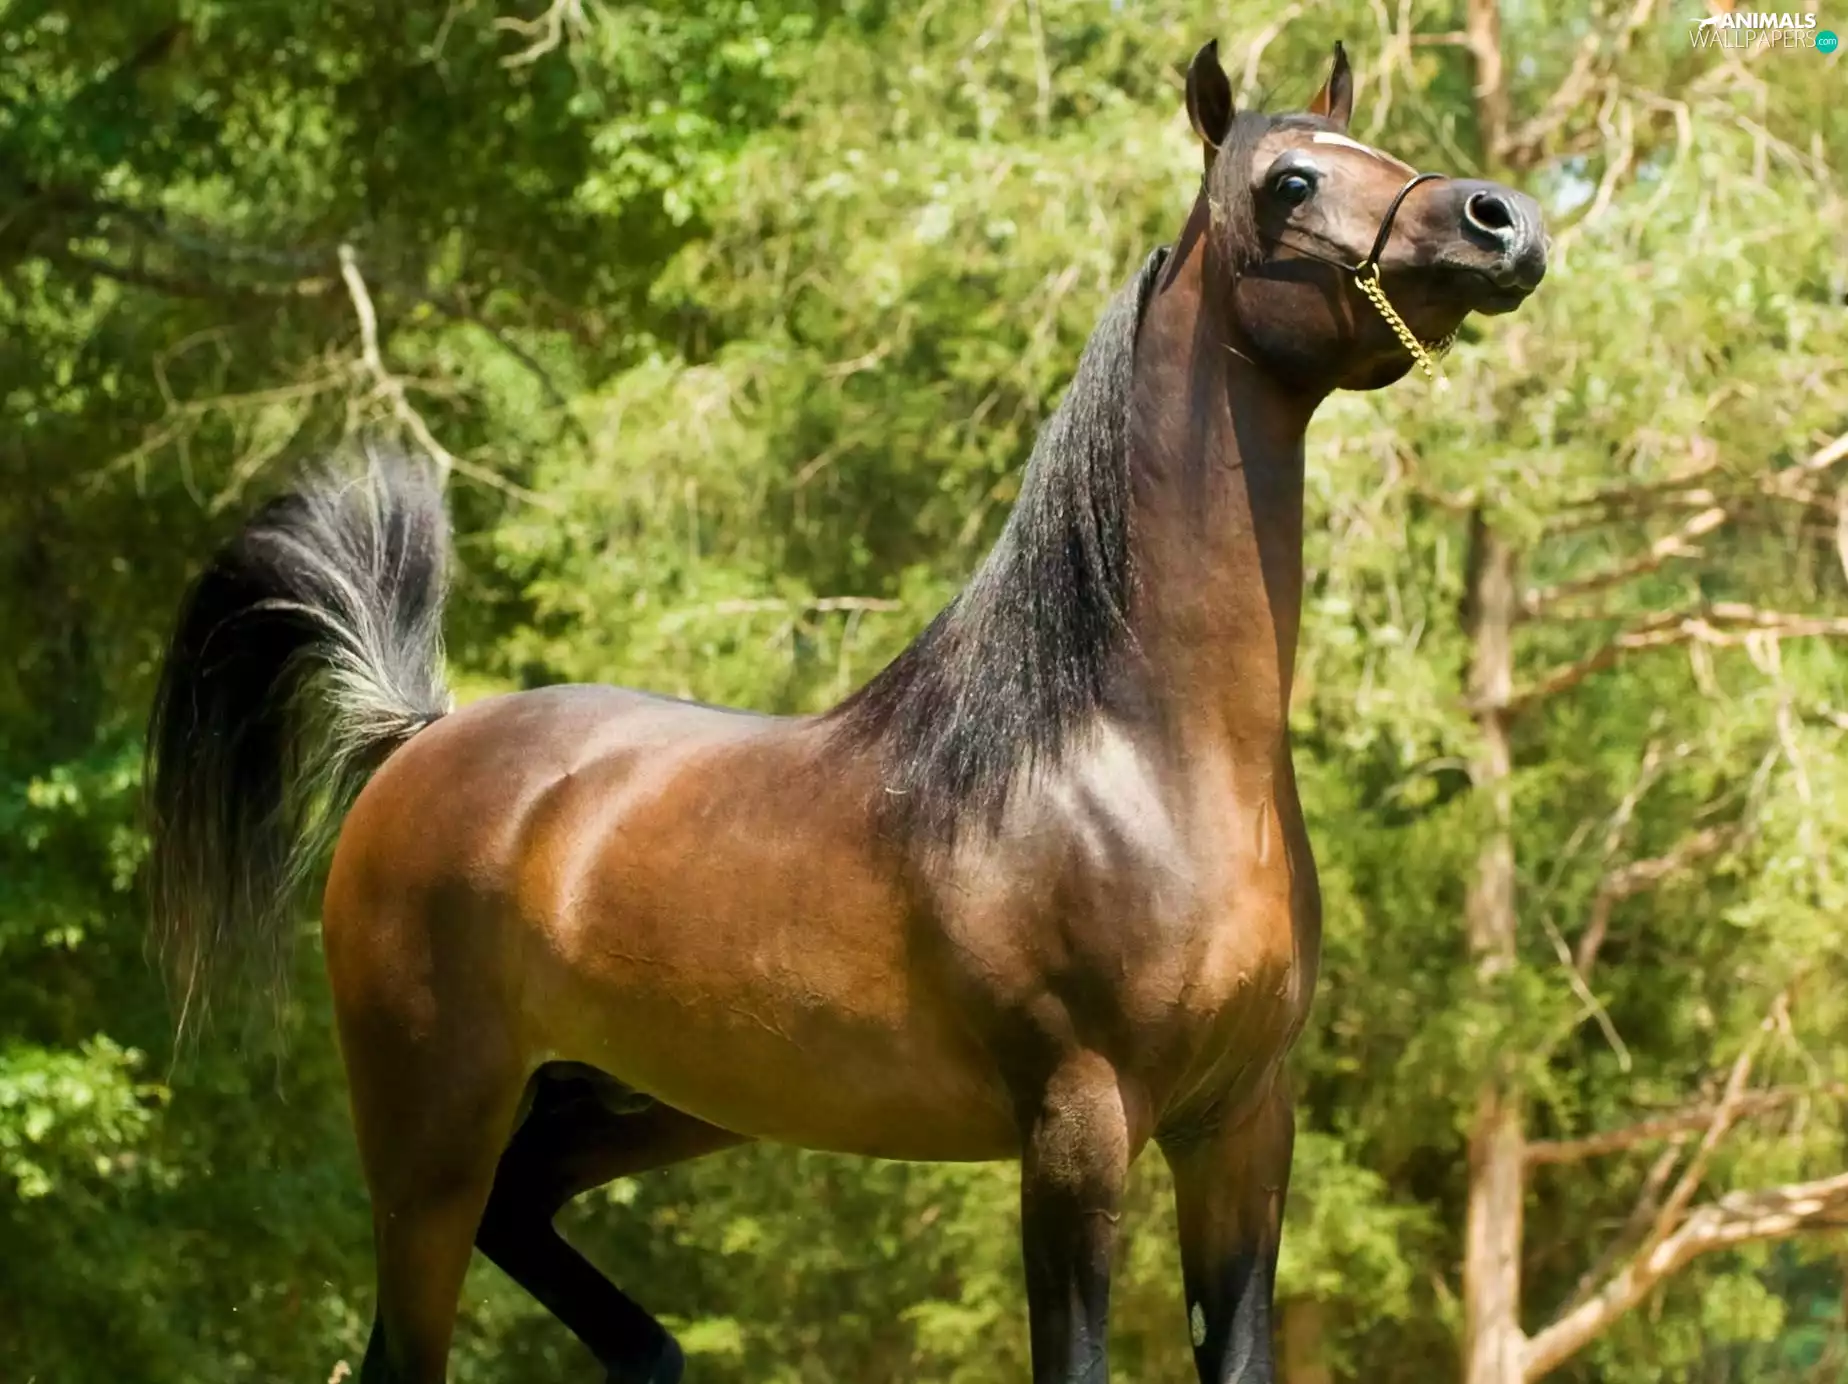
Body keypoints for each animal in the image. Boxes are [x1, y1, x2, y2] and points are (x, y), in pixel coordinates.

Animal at [145, 39, 1545, 1384]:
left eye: (1383, 149)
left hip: (638, 1099)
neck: (1138, 757)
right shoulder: (1078, 1125)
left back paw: (653, 1357)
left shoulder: (1244, 1126)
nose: (1503, 221)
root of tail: (422, 737)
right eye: (1290, 182)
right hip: (431, 1126)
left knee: (514, 1228)